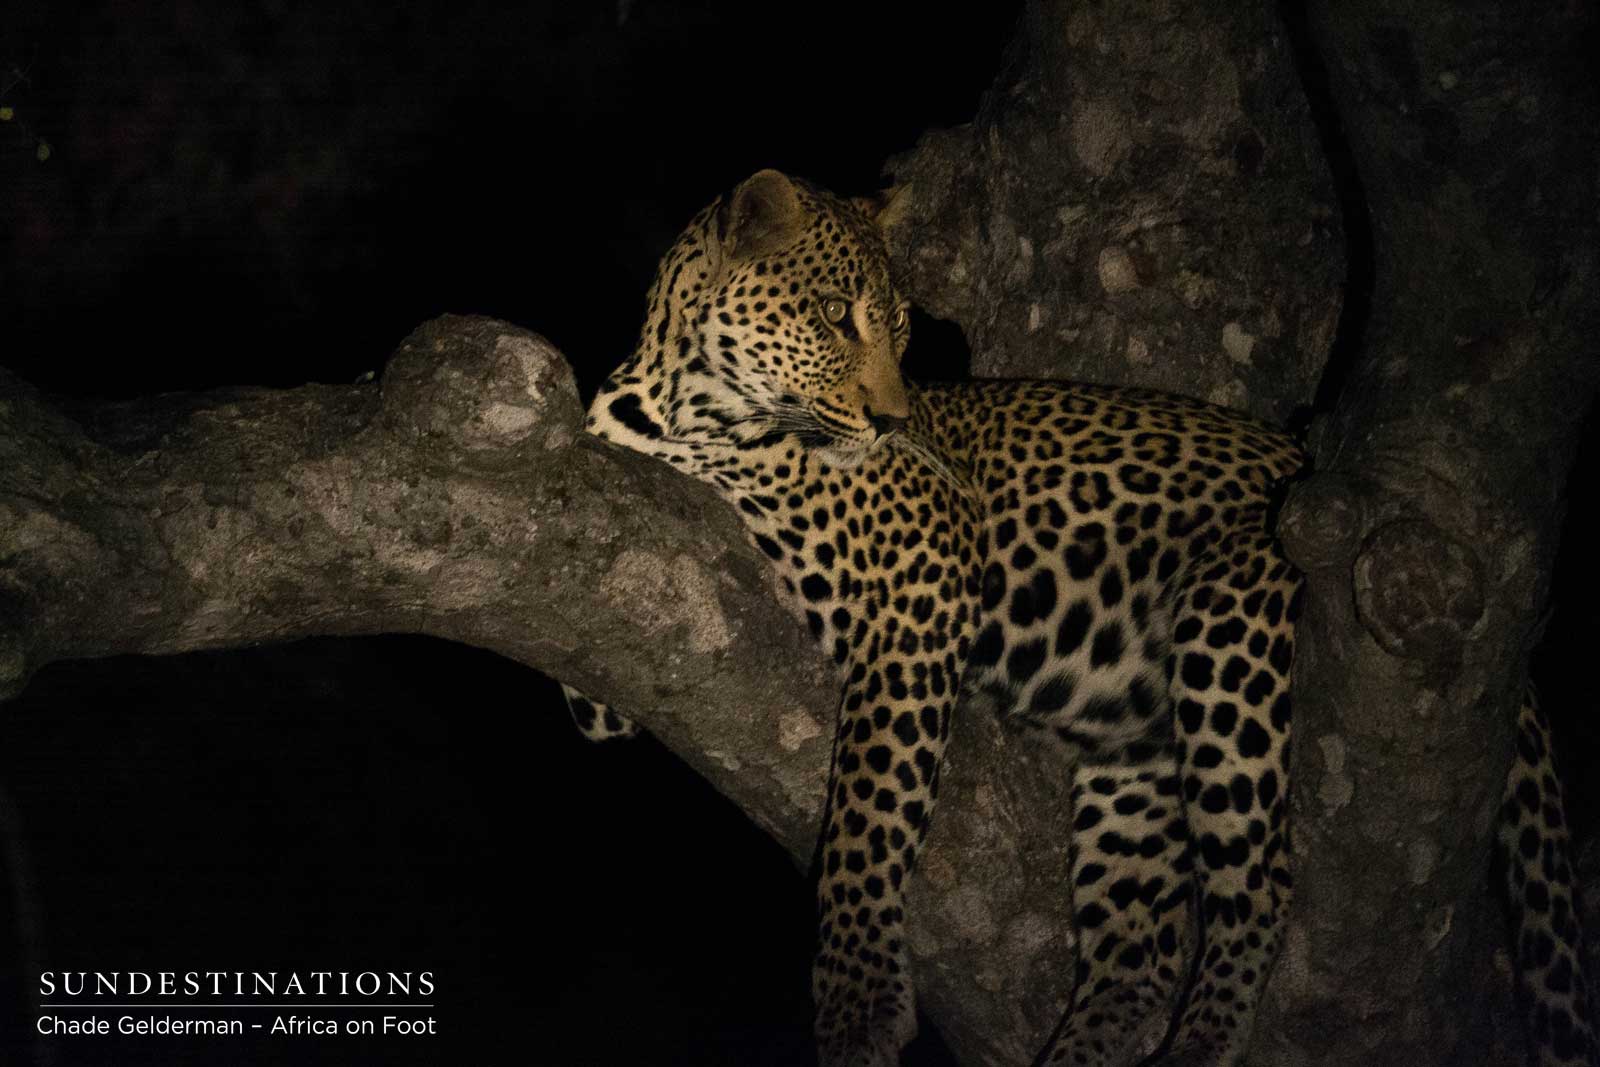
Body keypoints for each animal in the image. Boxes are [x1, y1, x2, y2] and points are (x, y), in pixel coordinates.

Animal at [559, 169, 1594, 1067]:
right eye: (831, 316)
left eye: (900, 331)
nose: (893, 420)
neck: (689, 409)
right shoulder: (609, 655)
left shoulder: (931, 566)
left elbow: (869, 806)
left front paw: (857, 998)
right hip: (1135, 766)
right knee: (1138, 954)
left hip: (1232, 627)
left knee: (1261, 880)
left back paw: (1203, 1041)